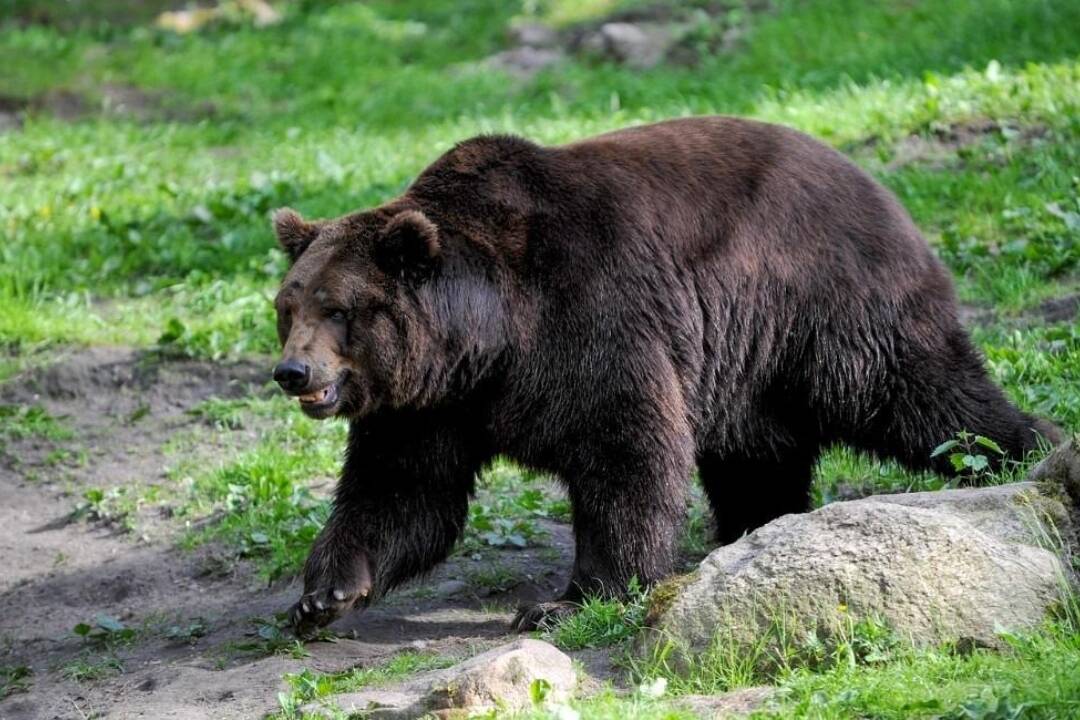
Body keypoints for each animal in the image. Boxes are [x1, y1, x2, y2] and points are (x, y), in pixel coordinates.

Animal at [270, 115, 1054, 634]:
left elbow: (626, 451)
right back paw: (749, 530)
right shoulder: (430, 405)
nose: (292, 371)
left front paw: (565, 600)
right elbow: (403, 491)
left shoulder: (588, 319)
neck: (486, 339)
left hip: (828, 308)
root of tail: (878, 185)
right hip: (749, 366)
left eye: (339, 308)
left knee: (926, 400)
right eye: (287, 305)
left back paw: (1027, 452)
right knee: (756, 456)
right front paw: (323, 594)